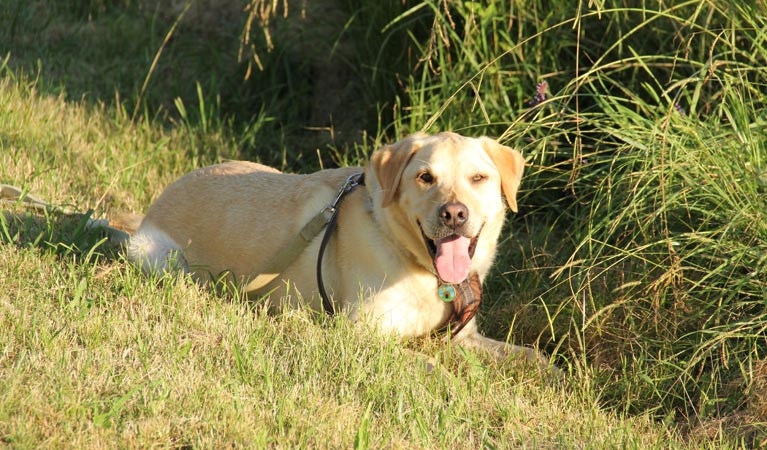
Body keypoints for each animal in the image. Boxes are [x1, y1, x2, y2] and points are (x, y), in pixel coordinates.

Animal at [126, 130, 544, 366]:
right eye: (426, 177)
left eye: (479, 178)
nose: (455, 214)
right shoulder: (359, 333)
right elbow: (429, 366)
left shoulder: (466, 337)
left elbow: (533, 356)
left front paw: (555, 376)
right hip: (160, 257)